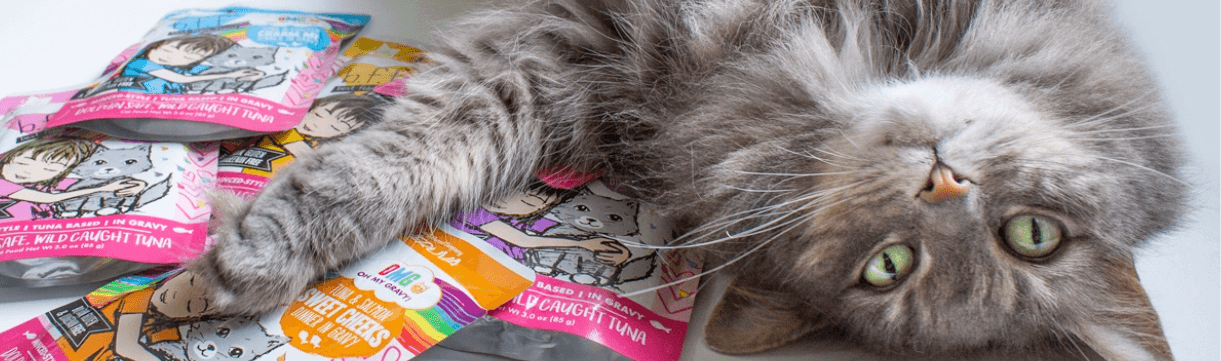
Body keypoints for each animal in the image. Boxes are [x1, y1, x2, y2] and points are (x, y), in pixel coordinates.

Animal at [195, 1, 1186, 358]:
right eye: (1035, 234)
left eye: (885, 267)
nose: (941, 182)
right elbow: (402, 157)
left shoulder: (555, 56)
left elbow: (421, 154)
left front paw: (243, 261)